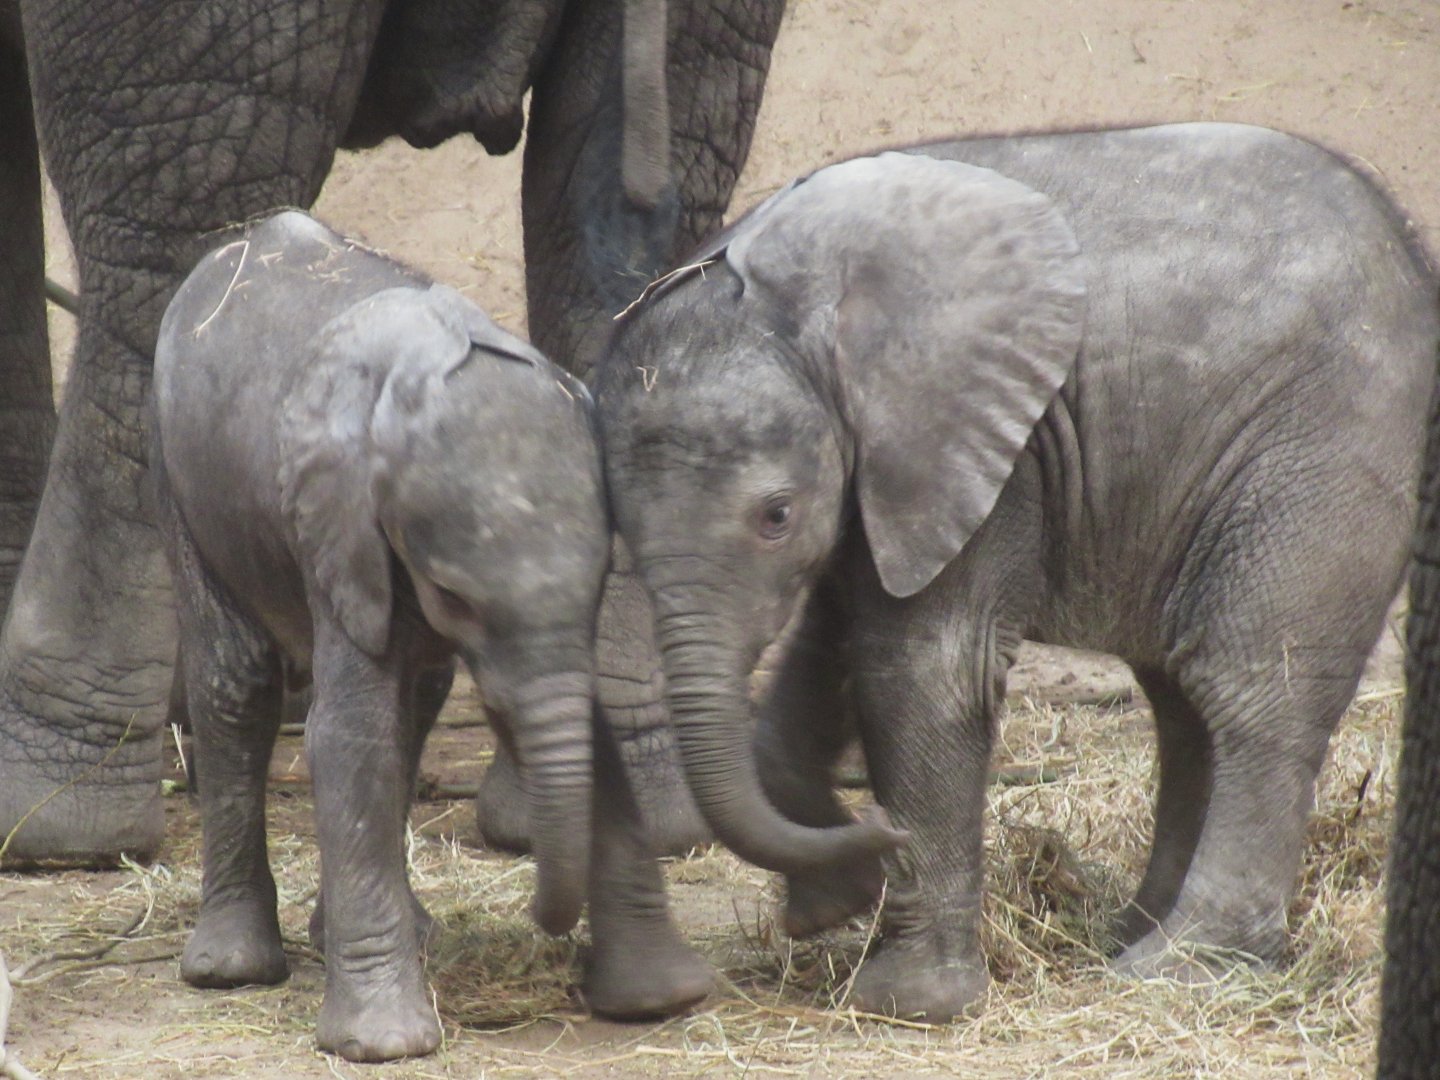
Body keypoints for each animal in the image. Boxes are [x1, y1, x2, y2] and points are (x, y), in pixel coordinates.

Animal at [152, 211, 712, 1061]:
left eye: (598, 581)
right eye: (455, 594)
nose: (551, 930)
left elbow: (577, 721)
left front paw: (659, 998)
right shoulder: (338, 528)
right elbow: (348, 734)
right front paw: (384, 1044)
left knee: (417, 701)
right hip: (187, 484)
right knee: (238, 685)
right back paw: (232, 968)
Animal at [593, 123, 1439, 1020]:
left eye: (775, 515)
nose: (877, 829)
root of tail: (1409, 244)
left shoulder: (979, 437)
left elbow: (922, 663)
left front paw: (908, 1001)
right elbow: (836, 642)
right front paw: (837, 902)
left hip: (1321, 449)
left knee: (1251, 689)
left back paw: (1178, 968)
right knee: (1184, 701)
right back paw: (1130, 934)